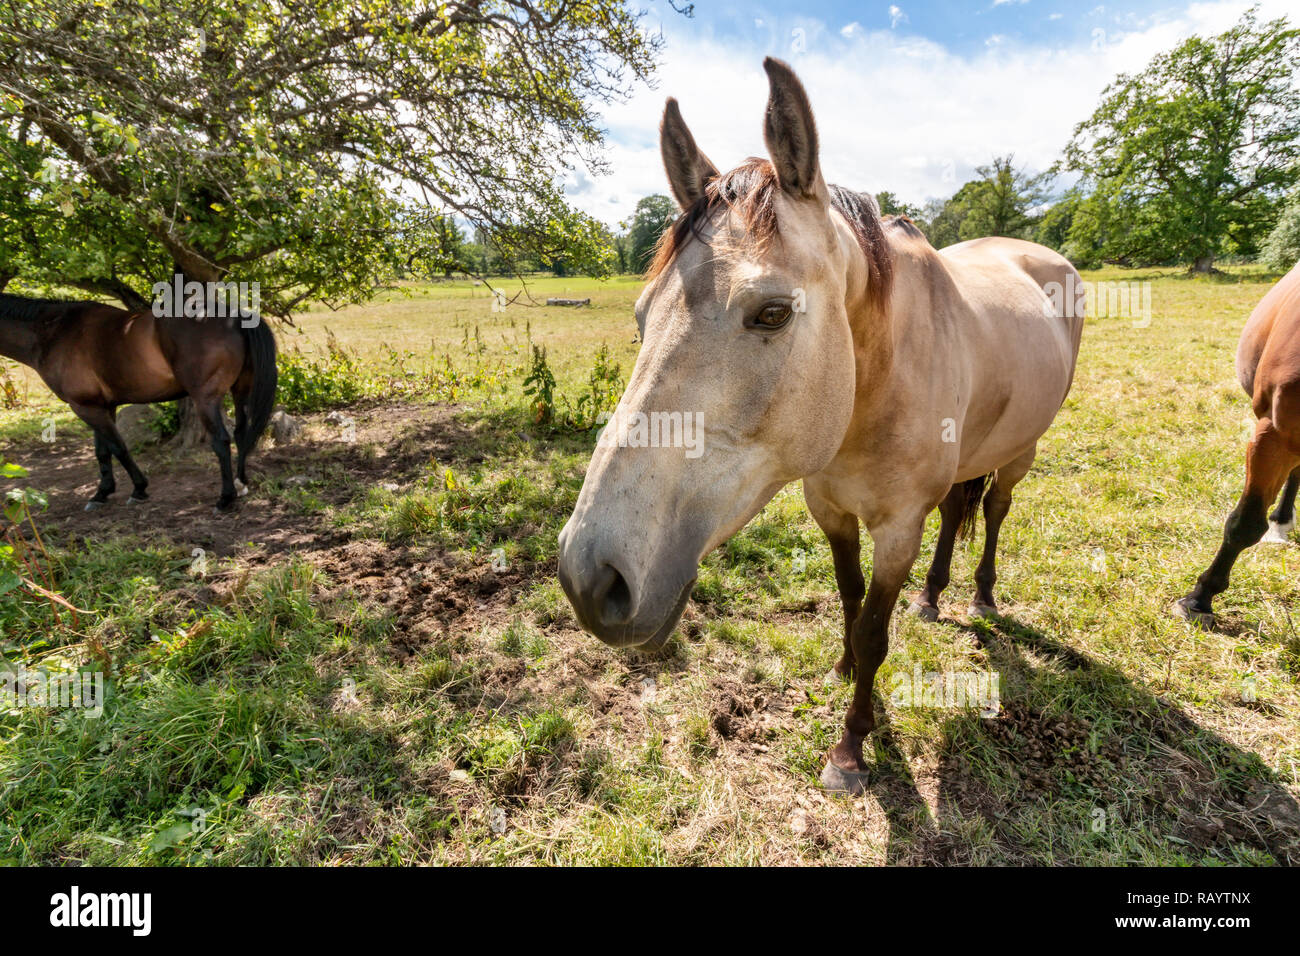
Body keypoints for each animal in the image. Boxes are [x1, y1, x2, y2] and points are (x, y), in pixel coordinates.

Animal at [0, 291, 276, 515]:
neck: (55, 330)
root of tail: (235, 318)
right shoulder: (101, 406)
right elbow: (103, 450)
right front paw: (102, 493)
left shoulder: (84, 406)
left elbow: (118, 447)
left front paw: (138, 489)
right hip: (240, 391)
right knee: (241, 433)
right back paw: (241, 484)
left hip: (205, 400)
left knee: (221, 440)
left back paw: (225, 498)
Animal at [553, 55, 1081, 796]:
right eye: (640, 316)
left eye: (772, 313)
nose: (589, 578)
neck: (873, 386)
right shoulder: (828, 507)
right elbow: (850, 599)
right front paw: (844, 669)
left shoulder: (897, 529)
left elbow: (875, 630)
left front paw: (852, 743)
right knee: (959, 509)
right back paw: (933, 596)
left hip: (1021, 451)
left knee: (996, 510)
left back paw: (980, 595)